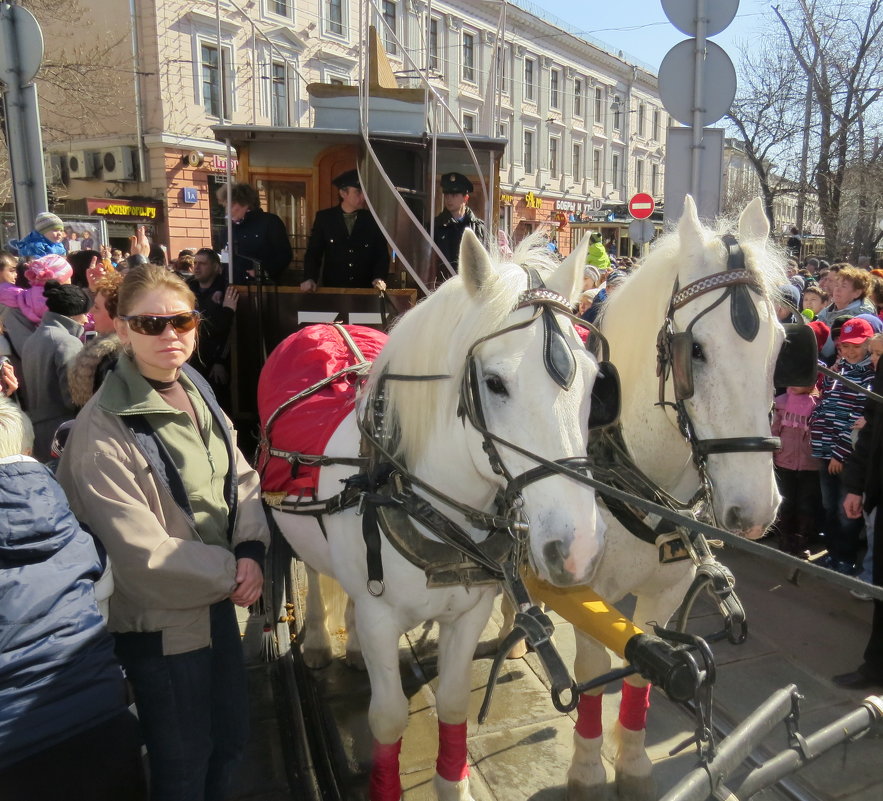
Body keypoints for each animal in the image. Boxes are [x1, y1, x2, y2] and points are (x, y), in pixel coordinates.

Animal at [272, 231, 608, 800]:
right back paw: (318, 639)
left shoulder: (468, 612)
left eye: (593, 380)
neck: (427, 503)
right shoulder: (383, 618)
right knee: (314, 573)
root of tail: (330, 324)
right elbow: (387, 718)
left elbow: (453, 703)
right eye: (494, 382)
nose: (579, 548)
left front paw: (453, 784)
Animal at [568, 195, 792, 800]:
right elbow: (590, 670)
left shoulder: (665, 593)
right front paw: (587, 769)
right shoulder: (585, 590)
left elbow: (647, 667)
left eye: (781, 348)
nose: (755, 510)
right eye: (697, 350)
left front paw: (634, 763)